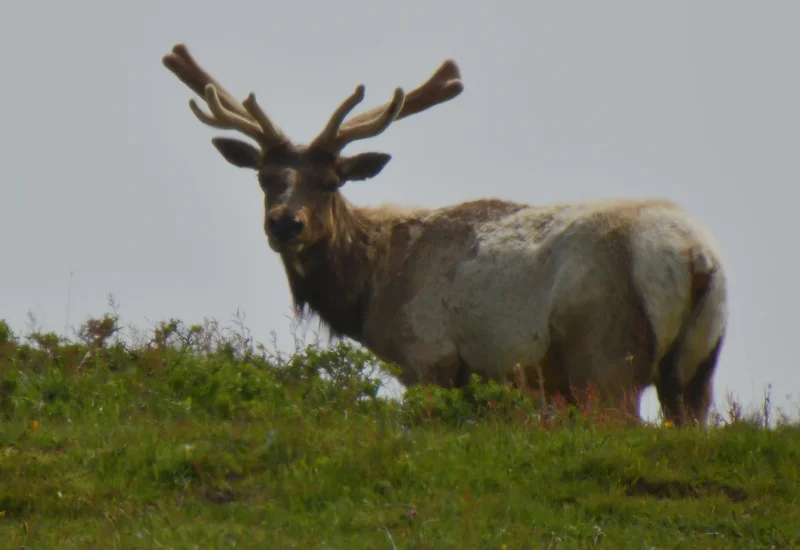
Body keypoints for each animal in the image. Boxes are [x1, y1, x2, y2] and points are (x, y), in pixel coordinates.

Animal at [162, 43, 728, 427]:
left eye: (330, 182)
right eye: (265, 178)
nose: (285, 223)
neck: (370, 291)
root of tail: (695, 256)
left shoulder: (428, 357)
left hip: (606, 355)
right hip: (698, 364)